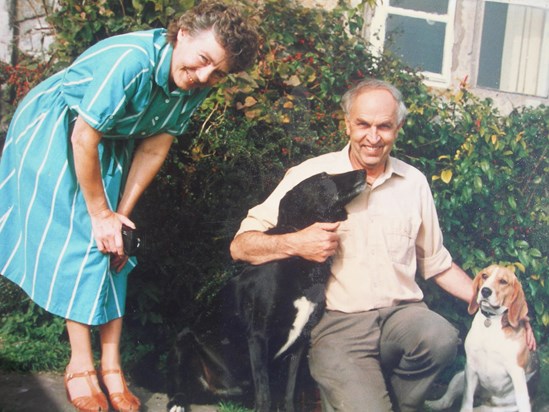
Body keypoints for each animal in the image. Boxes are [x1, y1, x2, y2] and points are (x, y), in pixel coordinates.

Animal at [165, 168, 366, 412]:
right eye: (323, 177)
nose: (363, 171)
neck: (301, 263)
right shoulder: (259, 336)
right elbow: (265, 395)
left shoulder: (300, 341)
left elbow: (289, 391)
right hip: (182, 339)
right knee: (176, 383)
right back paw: (178, 401)